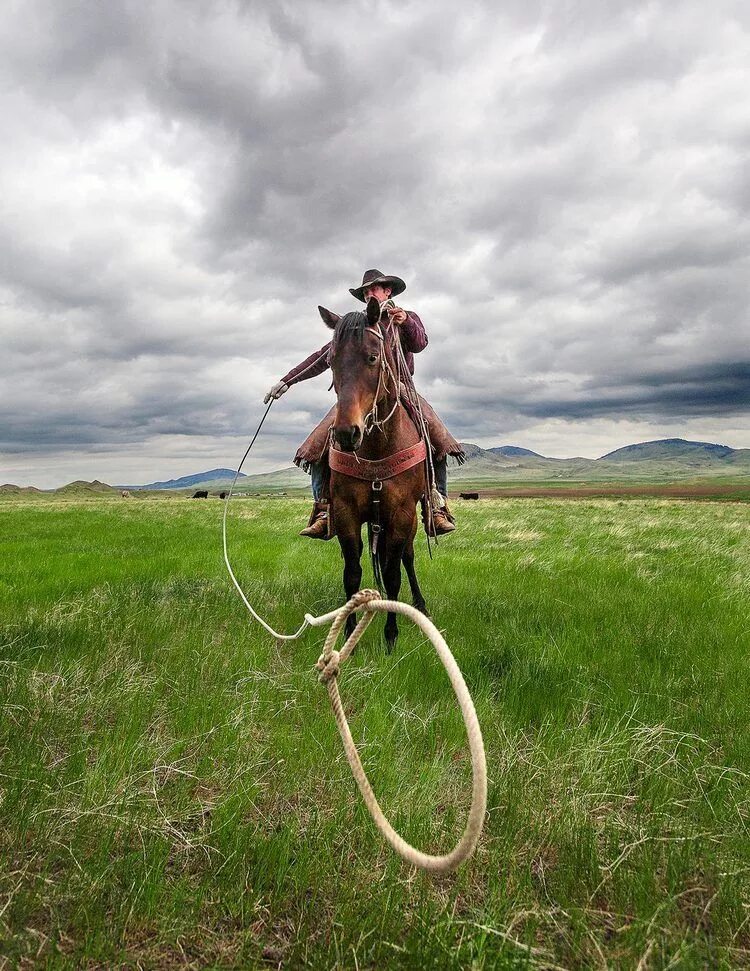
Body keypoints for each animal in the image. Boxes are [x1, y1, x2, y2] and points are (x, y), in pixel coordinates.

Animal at [320, 296, 428, 644]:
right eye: (331, 361)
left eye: (372, 357)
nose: (346, 433)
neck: (378, 445)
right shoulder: (346, 512)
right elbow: (352, 574)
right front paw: (348, 632)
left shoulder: (401, 513)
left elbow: (393, 574)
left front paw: (391, 635)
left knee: (408, 557)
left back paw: (420, 604)